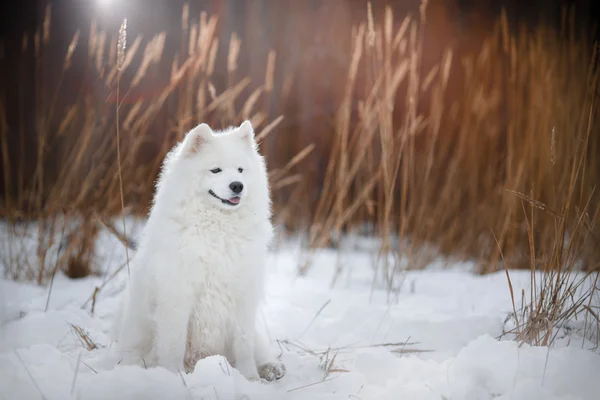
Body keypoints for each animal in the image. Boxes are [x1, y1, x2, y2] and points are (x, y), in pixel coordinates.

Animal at [109, 121, 286, 382]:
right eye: (216, 170)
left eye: (240, 170)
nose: (237, 186)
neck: (218, 229)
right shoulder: (178, 297)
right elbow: (174, 344)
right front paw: (174, 377)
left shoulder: (242, 297)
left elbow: (244, 346)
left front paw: (249, 379)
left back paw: (270, 368)